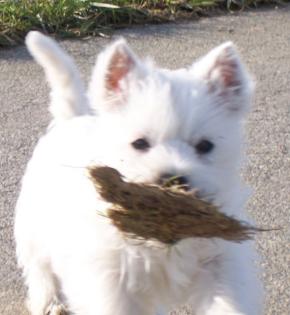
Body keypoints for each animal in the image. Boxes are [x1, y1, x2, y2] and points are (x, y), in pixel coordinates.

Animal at [13, 31, 262, 315]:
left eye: (205, 146)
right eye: (140, 143)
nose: (172, 179)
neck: (162, 239)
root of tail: (72, 118)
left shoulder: (221, 265)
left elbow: (228, 302)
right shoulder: (109, 280)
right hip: (33, 231)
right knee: (40, 271)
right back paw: (50, 303)